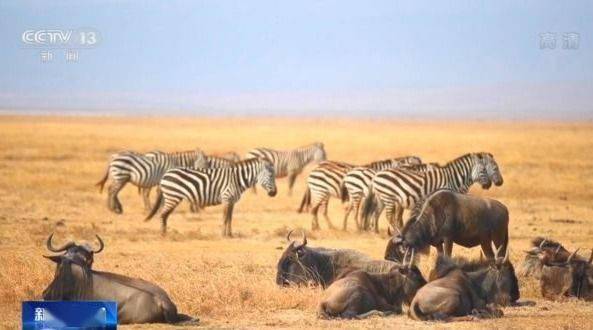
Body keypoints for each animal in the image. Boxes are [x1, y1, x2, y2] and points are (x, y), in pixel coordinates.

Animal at [147, 158, 278, 237]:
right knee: (162, 215)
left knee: (165, 215)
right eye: (271, 176)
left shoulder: (232, 201)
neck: (237, 179)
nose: (275, 193)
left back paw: (164, 233)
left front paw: (230, 234)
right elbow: (225, 218)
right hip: (172, 196)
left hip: (173, 197)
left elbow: (230, 218)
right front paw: (223, 235)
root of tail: (165, 174)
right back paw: (163, 234)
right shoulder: (226, 198)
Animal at [358, 151, 498, 231]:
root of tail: (377, 174)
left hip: (383, 198)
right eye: (483, 170)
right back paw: (396, 233)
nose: (489, 185)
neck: (452, 178)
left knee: (377, 213)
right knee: (388, 217)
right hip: (389, 198)